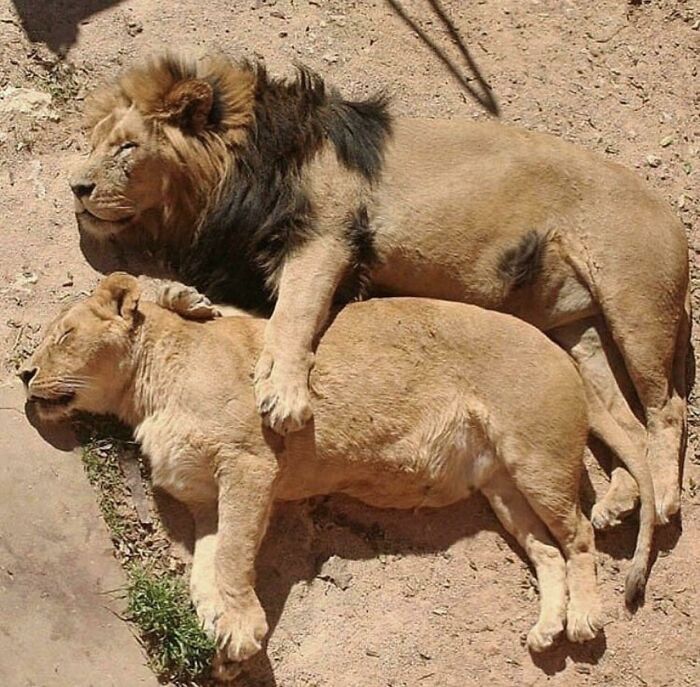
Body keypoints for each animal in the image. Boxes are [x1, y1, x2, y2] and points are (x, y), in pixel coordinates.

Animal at [21, 274, 655, 675]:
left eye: (63, 337)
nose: (24, 372)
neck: (145, 393)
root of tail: (559, 349)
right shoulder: (205, 499)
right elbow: (205, 568)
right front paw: (217, 630)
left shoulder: (250, 465)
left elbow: (233, 557)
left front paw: (242, 628)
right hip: (501, 488)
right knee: (548, 552)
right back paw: (548, 627)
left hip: (537, 459)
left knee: (580, 535)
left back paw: (584, 618)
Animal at [69, 52, 690, 528]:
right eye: (93, 143)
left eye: (126, 148)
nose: (76, 186)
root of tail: (671, 211)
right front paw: (185, 301)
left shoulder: (328, 235)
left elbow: (293, 315)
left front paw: (284, 394)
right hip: (576, 334)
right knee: (626, 422)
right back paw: (620, 501)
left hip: (637, 308)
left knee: (668, 409)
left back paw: (662, 500)